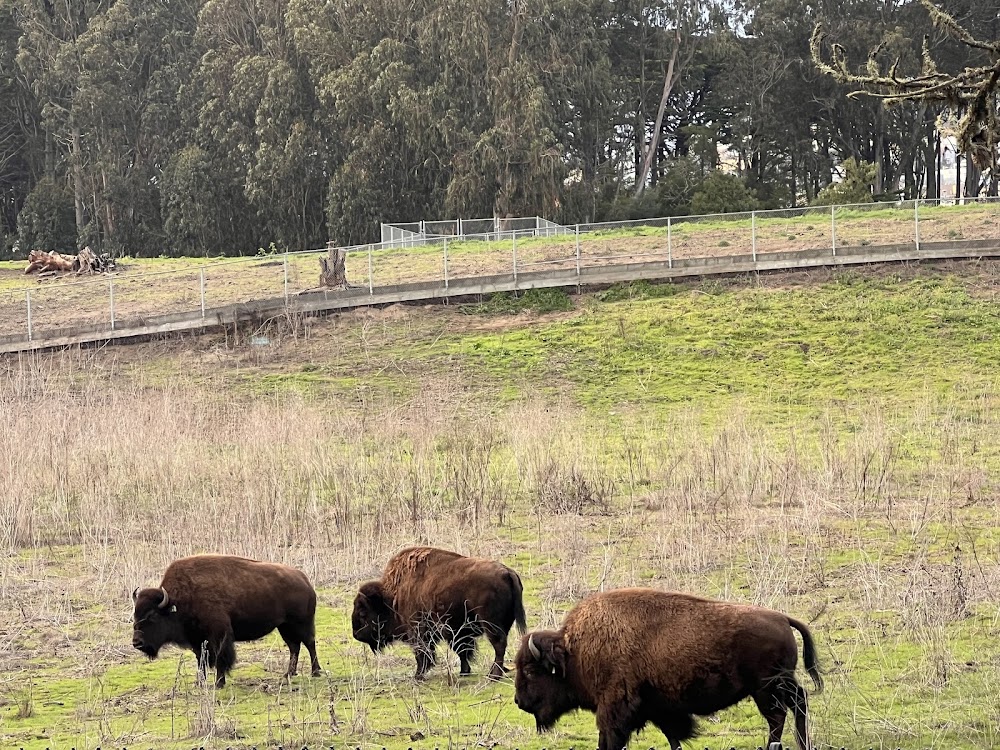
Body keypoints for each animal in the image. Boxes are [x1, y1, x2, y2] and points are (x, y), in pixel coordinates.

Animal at [131, 554, 322, 687]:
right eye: (135, 615)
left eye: (152, 615)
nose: (137, 642)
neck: (177, 600)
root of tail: (303, 579)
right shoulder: (197, 640)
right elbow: (201, 660)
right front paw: (200, 683)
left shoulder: (219, 636)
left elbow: (220, 658)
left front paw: (219, 683)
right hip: (284, 626)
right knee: (294, 647)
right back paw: (289, 674)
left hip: (301, 624)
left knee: (309, 643)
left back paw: (315, 672)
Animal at [352, 546, 527, 679]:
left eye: (363, 613)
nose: (356, 634)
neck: (392, 596)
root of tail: (507, 572)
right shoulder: (457, 632)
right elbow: (462, 650)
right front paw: (464, 671)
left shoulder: (418, 631)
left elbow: (423, 654)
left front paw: (418, 676)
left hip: (490, 624)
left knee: (499, 645)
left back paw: (494, 675)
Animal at [514, 588, 822, 750]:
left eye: (530, 671)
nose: (518, 701)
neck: (574, 652)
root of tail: (782, 618)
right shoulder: (660, 708)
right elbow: (673, 736)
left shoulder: (613, 707)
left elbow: (609, 738)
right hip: (780, 683)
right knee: (799, 702)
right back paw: (802, 742)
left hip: (766, 689)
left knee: (778, 716)